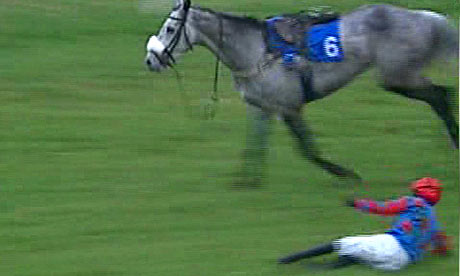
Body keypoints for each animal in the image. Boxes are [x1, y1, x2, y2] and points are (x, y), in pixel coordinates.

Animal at [146, 0, 458, 185]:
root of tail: (426, 17)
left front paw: (345, 173)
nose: (151, 60)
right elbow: (255, 144)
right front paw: (247, 181)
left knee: (440, 95)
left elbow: (307, 149)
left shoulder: (289, 107)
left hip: (396, 76)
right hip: (401, 75)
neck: (256, 50)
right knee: (442, 94)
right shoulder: (261, 107)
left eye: (170, 28)